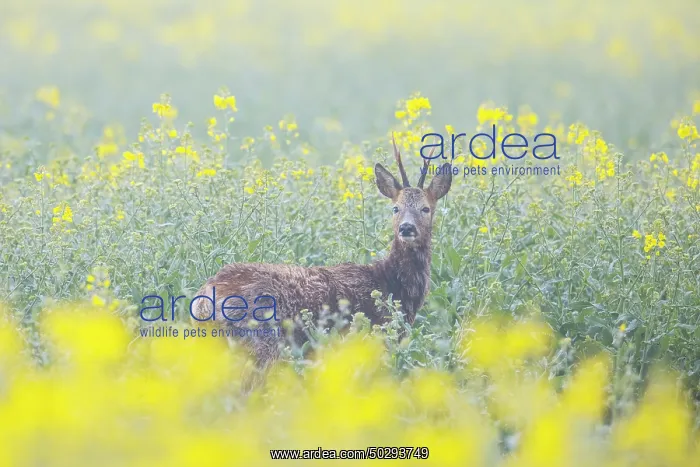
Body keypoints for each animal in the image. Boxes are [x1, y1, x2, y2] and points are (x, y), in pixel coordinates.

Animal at [191, 136, 453, 366]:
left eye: (426, 208)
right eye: (395, 208)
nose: (406, 228)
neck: (392, 284)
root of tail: (202, 301)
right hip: (260, 342)